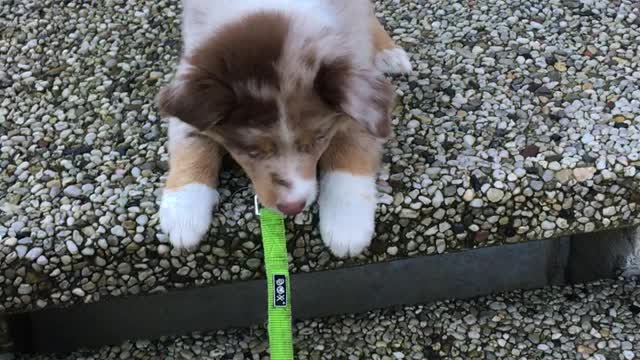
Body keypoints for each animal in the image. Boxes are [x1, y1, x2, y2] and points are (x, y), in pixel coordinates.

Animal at [158, 0, 412, 258]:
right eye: (251, 151)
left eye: (320, 138)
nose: (293, 207)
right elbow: (191, 143)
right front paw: (184, 215)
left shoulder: (362, 98)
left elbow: (351, 153)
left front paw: (347, 226)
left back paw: (389, 53)